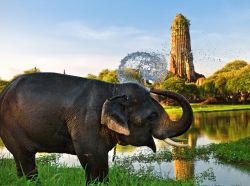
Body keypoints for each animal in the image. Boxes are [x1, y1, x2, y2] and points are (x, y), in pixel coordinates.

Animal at [0, 72, 193, 183]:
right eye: (152, 116)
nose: (153, 86)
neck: (114, 90)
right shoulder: (87, 121)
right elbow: (93, 156)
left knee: (20, 160)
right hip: (11, 128)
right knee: (26, 159)